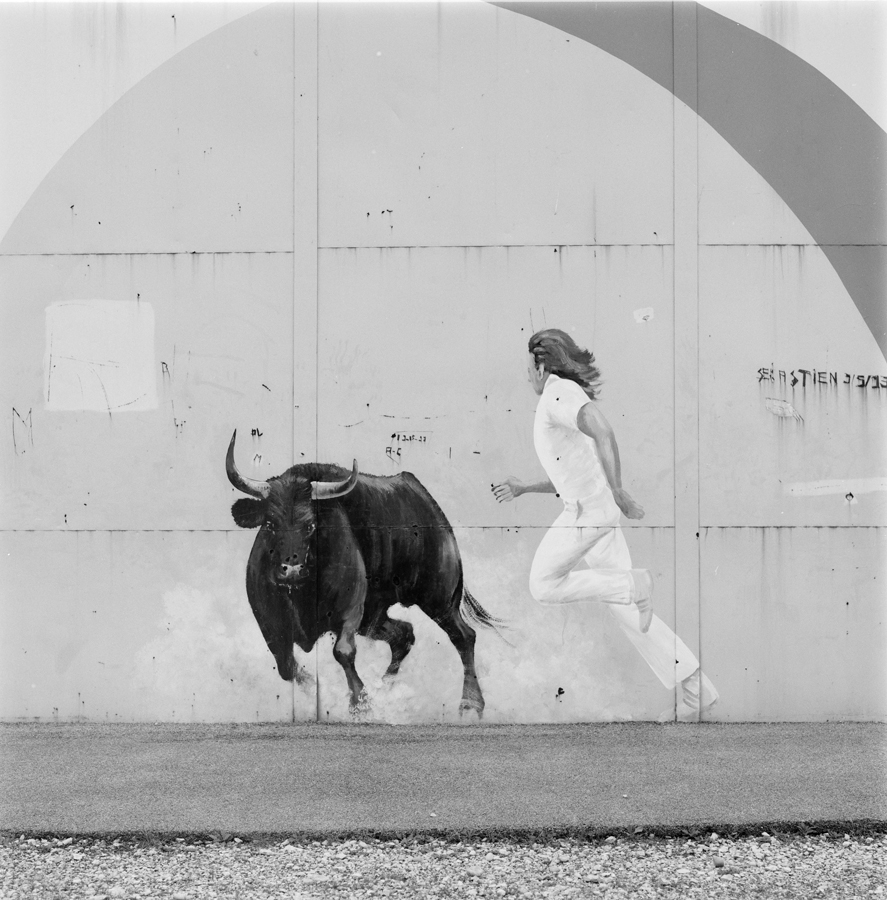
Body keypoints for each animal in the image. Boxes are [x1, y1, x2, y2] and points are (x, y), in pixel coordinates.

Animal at [224, 430, 500, 716]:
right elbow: (286, 665)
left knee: (463, 636)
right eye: (269, 524)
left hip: (439, 598)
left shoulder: (350, 611)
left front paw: (360, 702)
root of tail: (427, 505)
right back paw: (385, 690)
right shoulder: (269, 620)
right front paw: (330, 692)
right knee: (404, 634)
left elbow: (343, 652)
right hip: (375, 615)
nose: (291, 570)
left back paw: (470, 703)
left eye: (310, 525)